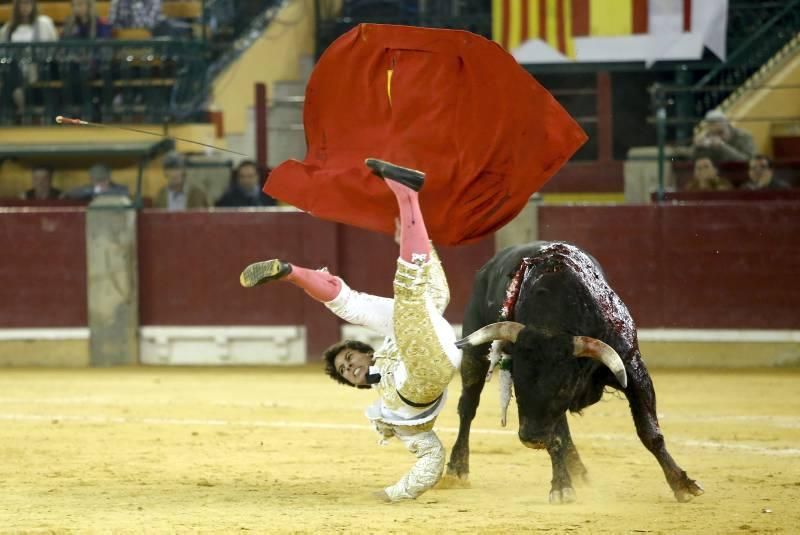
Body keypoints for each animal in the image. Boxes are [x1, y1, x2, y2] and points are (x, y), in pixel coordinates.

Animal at [444, 243, 708, 502]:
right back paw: (457, 469)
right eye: (517, 384)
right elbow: (557, 438)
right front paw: (561, 486)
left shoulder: (633, 370)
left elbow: (649, 432)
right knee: (468, 407)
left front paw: (682, 484)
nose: (532, 438)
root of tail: (487, 268)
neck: (551, 325)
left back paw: (578, 470)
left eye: (562, 388)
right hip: (474, 355)